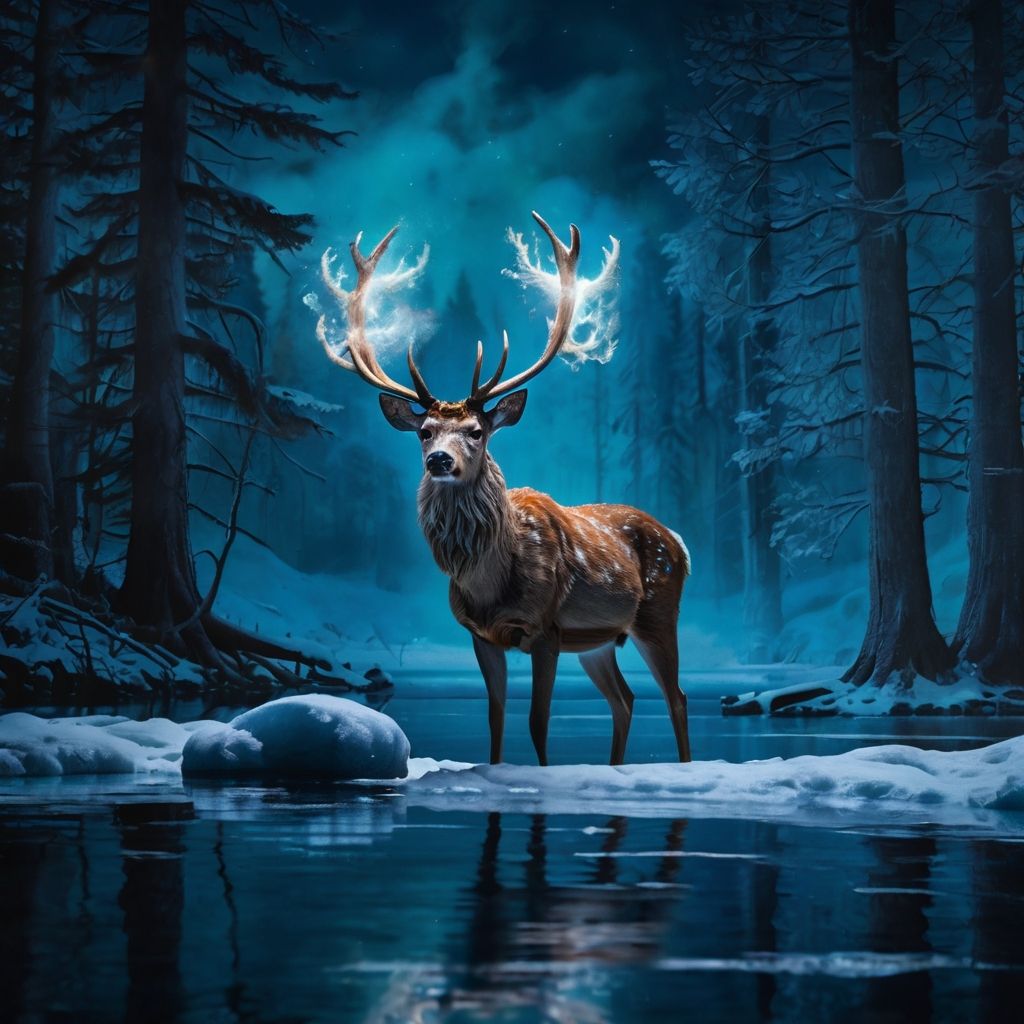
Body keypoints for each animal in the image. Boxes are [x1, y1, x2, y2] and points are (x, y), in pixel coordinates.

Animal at [317, 213, 692, 767]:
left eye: (477, 430)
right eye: (424, 431)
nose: (439, 459)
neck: (491, 581)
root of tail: (680, 542)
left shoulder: (547, 630)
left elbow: (537, 723)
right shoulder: (481, 636)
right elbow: (494, 722)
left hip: (657, 613)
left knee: (676, 698)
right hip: (600, 641)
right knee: (624, 699)